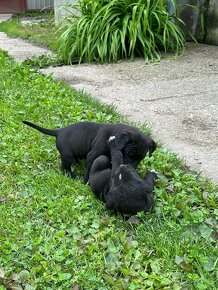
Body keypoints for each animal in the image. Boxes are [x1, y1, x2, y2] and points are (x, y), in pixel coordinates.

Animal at [22, 121, 157, 182]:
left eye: (141, 159)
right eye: (128, 153)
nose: (131, 168)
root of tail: (59, 131)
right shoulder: (93, 156)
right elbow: (89, 170)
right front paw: (85, 181)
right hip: (67, 156)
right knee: (64, 168)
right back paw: (72, 175)